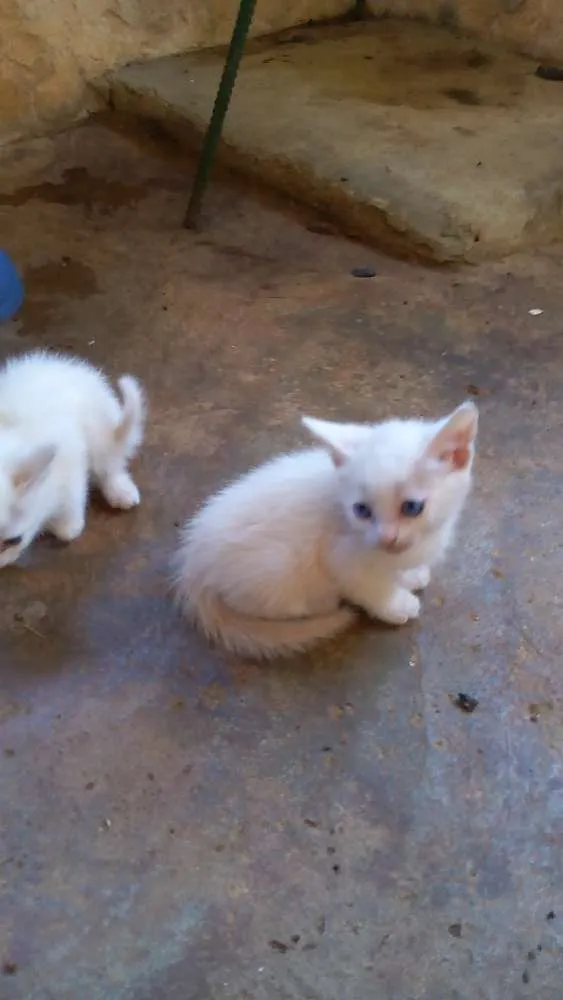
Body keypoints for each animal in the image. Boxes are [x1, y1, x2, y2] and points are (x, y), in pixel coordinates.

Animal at [0, 350, 147, 564]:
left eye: (13, 541)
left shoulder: (71, 456)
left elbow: (69, 529)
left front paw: (57, 524)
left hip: (100, 430)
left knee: (109, 463)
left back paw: (120, 491)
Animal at [176, 402, 480, 660]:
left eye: (412, 507)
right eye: (361, 510)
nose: (386, 537)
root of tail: (193, 562)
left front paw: (409, 575)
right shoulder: (340, 556)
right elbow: (370, 587)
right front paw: (396, 604)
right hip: (276, 569)